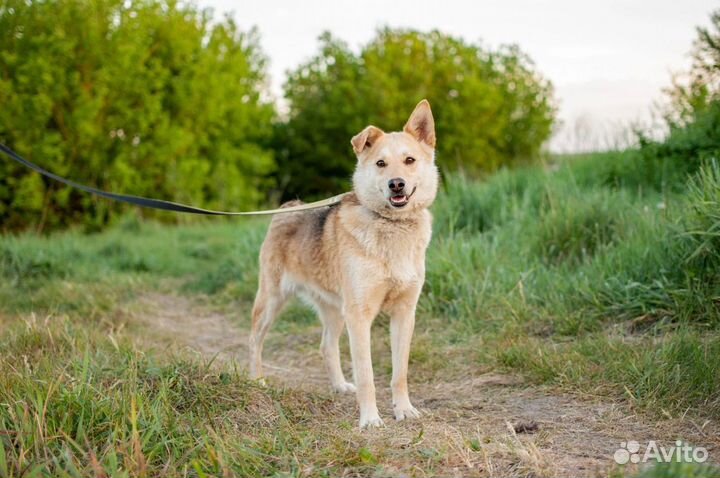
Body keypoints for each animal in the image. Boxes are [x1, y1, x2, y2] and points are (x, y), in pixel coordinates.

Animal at [248, 99, 438, 428]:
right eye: (380, 164)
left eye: (410, 160)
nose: (396, 184)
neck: (391, 227)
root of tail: (290, 206)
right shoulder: (359, 316)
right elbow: (366, 375)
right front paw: (370, 419)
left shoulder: (404, 313)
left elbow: (399, 372)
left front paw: (403, 409)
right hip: (272, 300)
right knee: (254, 339)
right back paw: (255, 381)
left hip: (335, 310)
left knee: (326, 345)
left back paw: (338, 385)